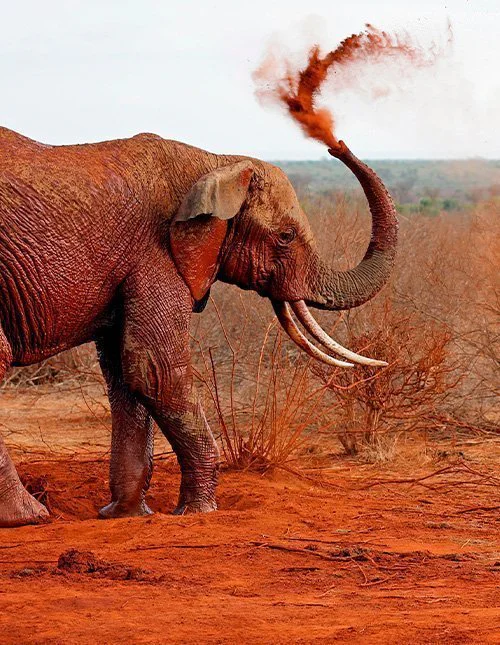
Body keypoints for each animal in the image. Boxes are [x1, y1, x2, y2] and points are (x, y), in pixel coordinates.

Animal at [0, 126, 397, 527]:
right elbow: (156, 370)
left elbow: (127, 376)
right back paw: (29, 516)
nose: (336, 145)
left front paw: (125, 514)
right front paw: (199, 510)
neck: (217, 162)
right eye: (285, 237)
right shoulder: (156, 254)